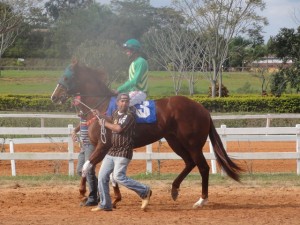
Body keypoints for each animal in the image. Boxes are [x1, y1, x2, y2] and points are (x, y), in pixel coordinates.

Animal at [51, 60, 244, 209]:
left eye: (66, 77)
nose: (54, 96)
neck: (101, 107)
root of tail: (202, 109)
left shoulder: (103, 145)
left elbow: (86, 167)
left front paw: (83, 192)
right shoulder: (108, 147)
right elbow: (108, 173)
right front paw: (115, 198)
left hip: (193, 144)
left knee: (202, 167)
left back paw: (201, 200)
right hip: (175, 141)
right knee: (189, 163)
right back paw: (174, 189)